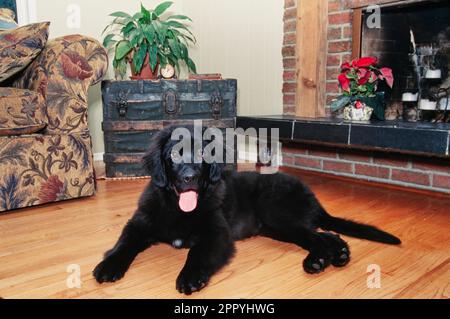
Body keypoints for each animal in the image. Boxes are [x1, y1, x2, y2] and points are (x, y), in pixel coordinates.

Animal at [92, 125, 400, 296]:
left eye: (202, 154)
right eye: (175, 155)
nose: (189, 177)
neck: (179, 208)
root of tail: (312, 196)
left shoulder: (217, 233)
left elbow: (196, 253)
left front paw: (190, 277)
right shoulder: (139, 223)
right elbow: (122, 244)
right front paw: (108, 266)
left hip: (277, 214)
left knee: (319, 236)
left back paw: (318, 260)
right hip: (278, 226)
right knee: (327, 235)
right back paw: (337, 255)